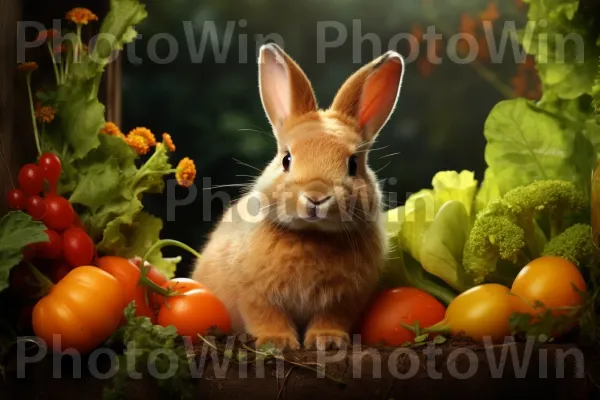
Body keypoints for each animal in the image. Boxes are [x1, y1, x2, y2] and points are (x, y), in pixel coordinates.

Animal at [192, 43, 406, 350]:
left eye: (353, 164)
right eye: (287, 159)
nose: (316, 197)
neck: (312, 235)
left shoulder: (343, 301)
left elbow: (330, 319)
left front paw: (328, 341)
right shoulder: (255, 295)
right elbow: (266, 316)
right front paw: (277, 342)